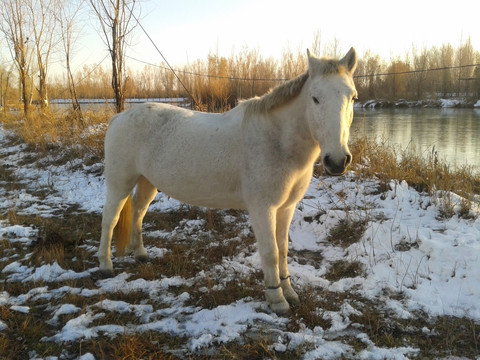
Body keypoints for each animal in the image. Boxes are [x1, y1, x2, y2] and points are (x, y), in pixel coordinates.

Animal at [99, 47, 358, 312]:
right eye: (315, 98)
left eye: (353, 98)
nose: (337, 161)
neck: (276, 141)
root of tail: (119, 117)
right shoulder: (262, 209)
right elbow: (270, 252)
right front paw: (277, 299)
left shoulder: (286, 207)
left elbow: (283, 250)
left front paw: (290, 292)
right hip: (120, 183)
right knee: (110, 218)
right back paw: (106, 265)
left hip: (147, 181)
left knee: (138, 211)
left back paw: (140, 253)